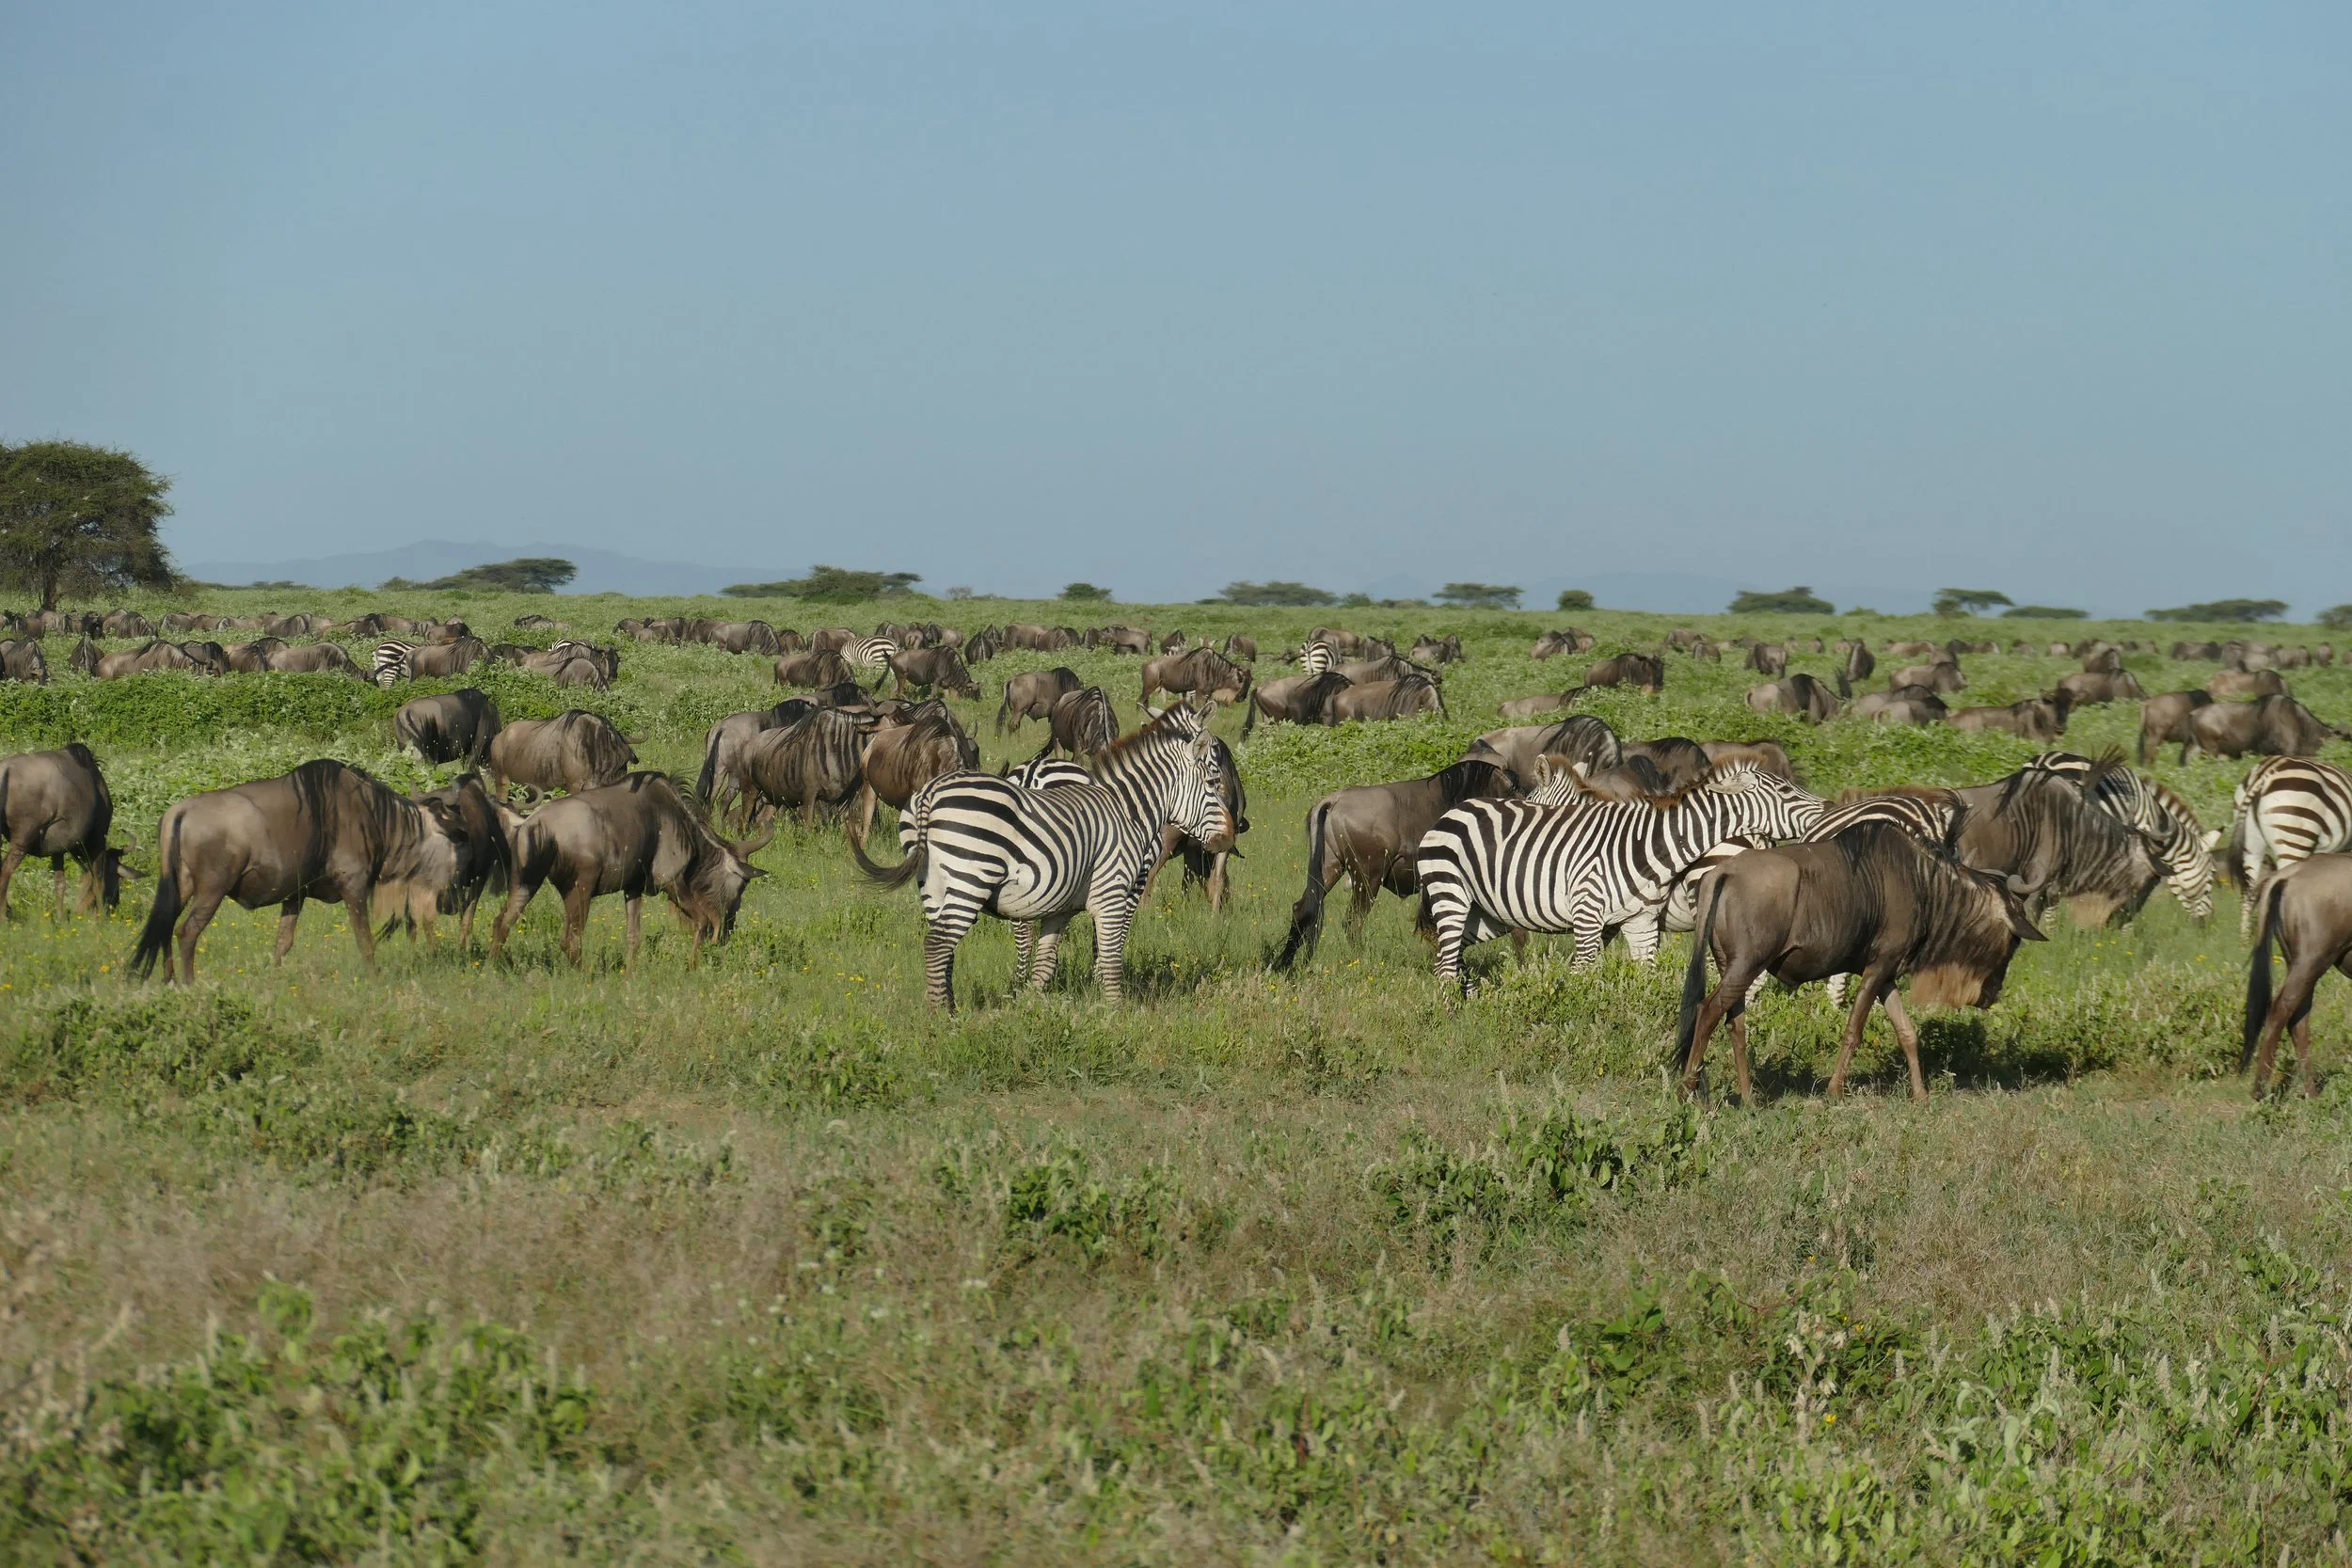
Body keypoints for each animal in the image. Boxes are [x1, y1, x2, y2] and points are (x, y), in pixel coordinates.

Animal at [854, 706, 1232, 1009]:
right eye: (1213, 780)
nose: (1230, 836)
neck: (1128, 810)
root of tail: (931, 792)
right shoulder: (1117, 891)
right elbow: (1111, 954)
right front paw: (1115, 1012)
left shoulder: (1058, 907)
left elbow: (1046, 961)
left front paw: (1029, 1005)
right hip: (969, 880)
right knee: (938, 945)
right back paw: (943, 1019)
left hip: (934, 886)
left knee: (943, 948)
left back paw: (949, 1005)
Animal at [1415, 763, 1824, 992]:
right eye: (1784, 789)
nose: (1826, 808)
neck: (1647, 847)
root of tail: (1455, 810)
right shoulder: (1594, 917)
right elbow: (1585, 973)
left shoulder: (1633, 921)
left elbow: (1631, 976)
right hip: (1457, 897)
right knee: (1447, 961)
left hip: (1482, 912)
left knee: (1449, 958)